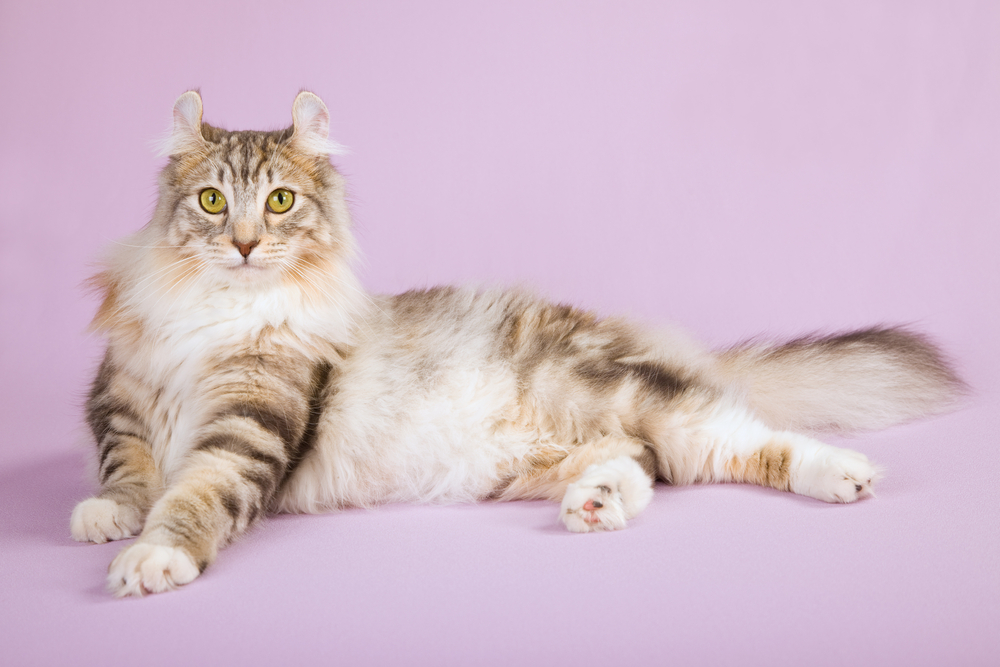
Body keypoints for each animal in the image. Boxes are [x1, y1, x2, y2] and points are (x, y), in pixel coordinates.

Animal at [68, 91, 960, 596]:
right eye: (214, 202)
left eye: (281, 202)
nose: (248, 245)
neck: (219, 311)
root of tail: (630, 336)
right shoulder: (118, 397)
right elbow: (128, 468)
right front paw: (108, 514)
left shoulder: (250, 419)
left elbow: (194, 492)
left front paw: (154, 556)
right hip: (547, 455)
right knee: (641, 463)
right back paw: (597, 505)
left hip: (624, 394)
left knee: (744, 438)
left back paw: (841, 473)